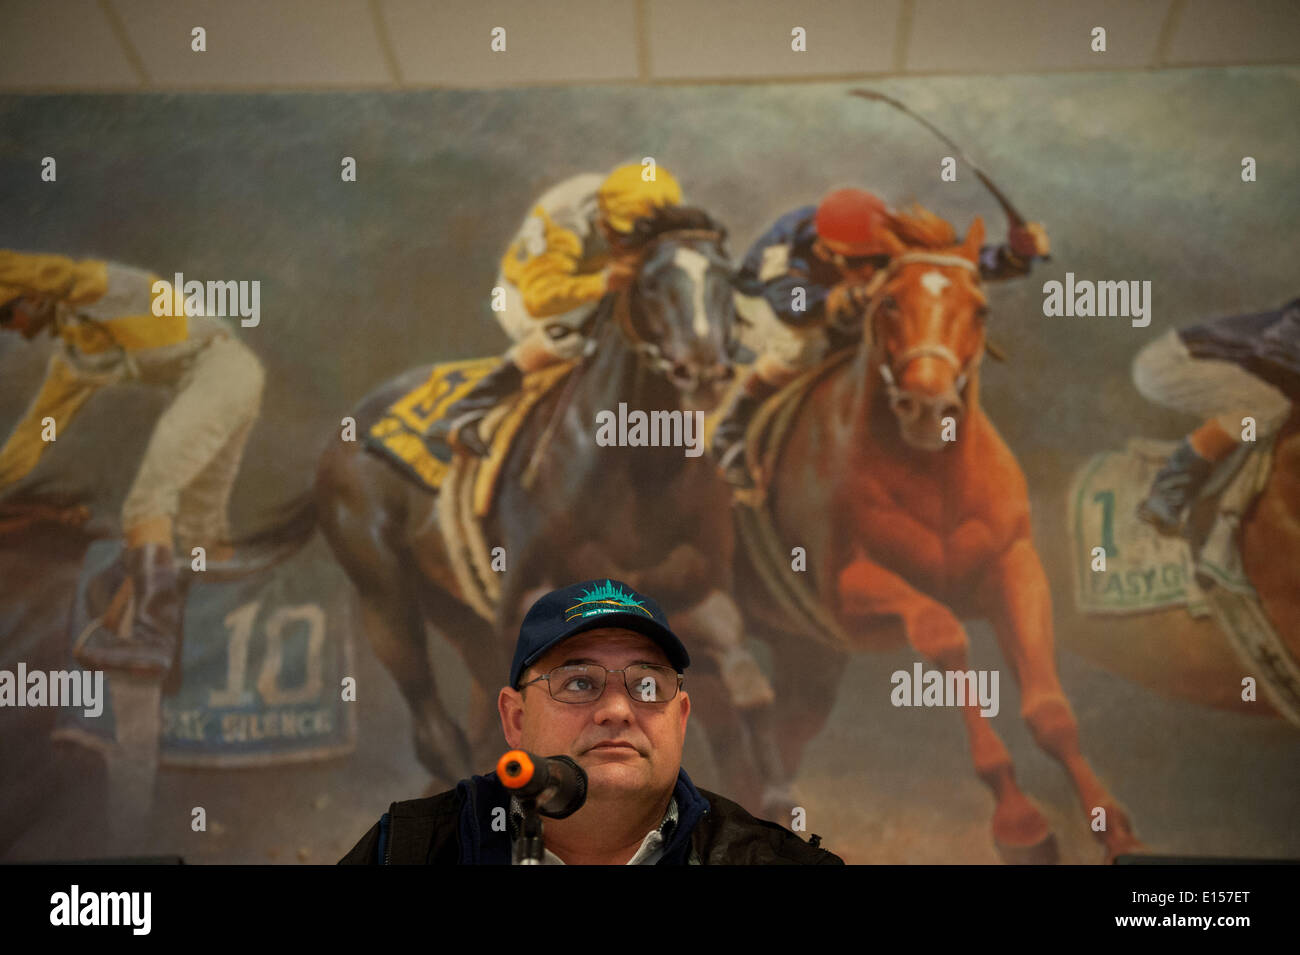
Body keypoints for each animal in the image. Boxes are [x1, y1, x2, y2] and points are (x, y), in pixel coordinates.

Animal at [310, 207, 785, 800]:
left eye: (728, 280)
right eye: (650, 283)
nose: (702, 366)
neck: (638, 475)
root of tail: (345, 433)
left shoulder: (697, 593)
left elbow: (744, 682)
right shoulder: (523, 602)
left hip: (455, 611)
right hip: (384, 593)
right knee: (435, 726)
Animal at [738, 214, 1144, 867]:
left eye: (979, 309)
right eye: (888, 304)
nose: (927, 403)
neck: (933, 477)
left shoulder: (1015, 567)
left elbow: (1051, 711)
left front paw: (1116, 829)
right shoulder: (845, 595)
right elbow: (943, 633)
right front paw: (1020, 821)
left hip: (806, 655)